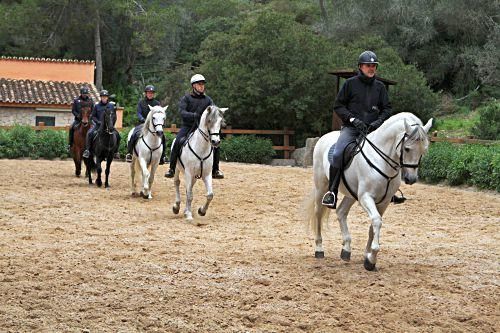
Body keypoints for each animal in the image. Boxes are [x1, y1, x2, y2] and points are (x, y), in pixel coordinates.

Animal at [304, 111, 434, 270]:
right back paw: (319, 249)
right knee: (318, 213)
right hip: (321, 187)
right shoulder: (366, 197)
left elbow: (373, 226)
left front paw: (367, 256)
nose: (411, 179)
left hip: (351, 194)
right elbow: (377, 221)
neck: (382, 160)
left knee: (341, 212)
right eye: (407, 148)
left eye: (424, 149)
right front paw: (372, 259)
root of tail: (324, 137)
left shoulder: (384, 202)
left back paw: (346, 249)